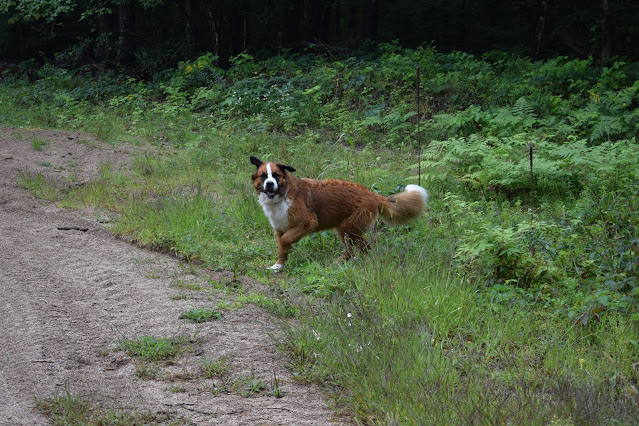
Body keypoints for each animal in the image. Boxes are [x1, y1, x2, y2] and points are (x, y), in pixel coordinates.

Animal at [251, 156, 430, 270]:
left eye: (275, 176)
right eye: (263, 176)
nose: (269, 184)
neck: (282, 196)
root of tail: (373, 194)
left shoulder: (307, 222)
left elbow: (285, 240)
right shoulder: (279, 228)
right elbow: (281, 246)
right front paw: (279, 265)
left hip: (347, 228)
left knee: (359, 246)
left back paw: (340, 263)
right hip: (348, 230)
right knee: (363, 246)